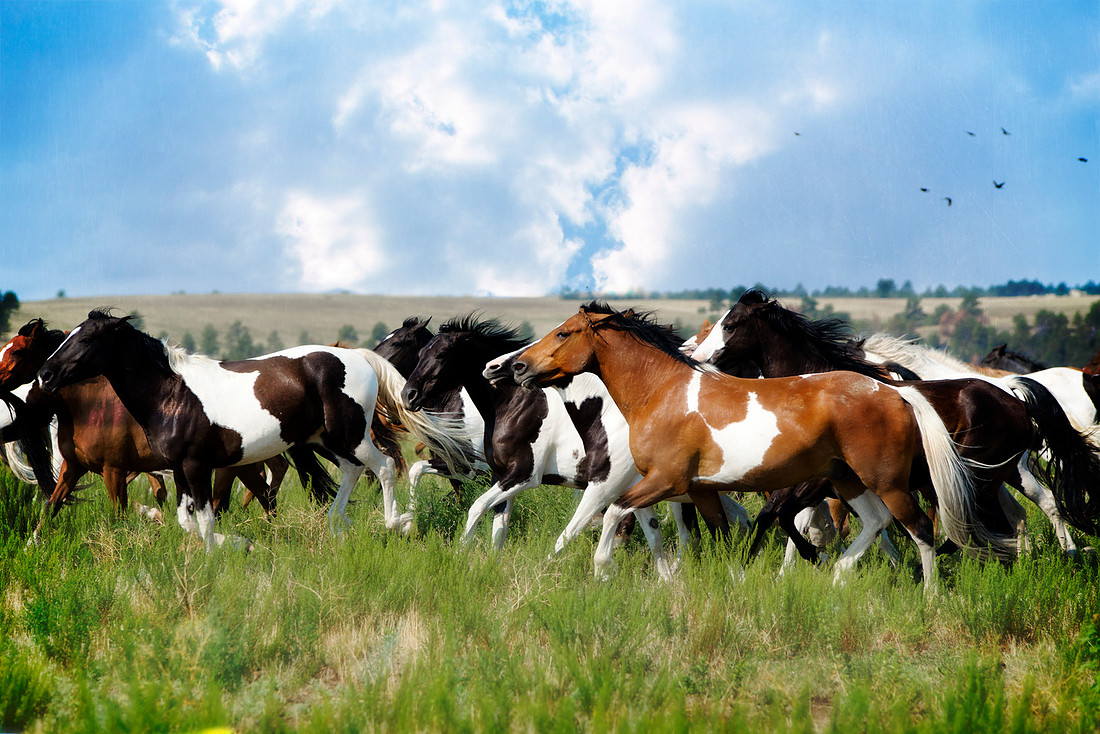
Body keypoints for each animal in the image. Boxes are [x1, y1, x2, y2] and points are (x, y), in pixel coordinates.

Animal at [1, 319, 291, 532]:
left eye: (17, 351)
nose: (44, 377)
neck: (88, 405)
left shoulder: (114, 470)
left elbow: (121, 513)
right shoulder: (73, 468)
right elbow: (50, 507)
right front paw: (32, 547)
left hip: (232, 466)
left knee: (254, 493)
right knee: (262, 493)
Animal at [36, 310, 472, 550]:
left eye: (86, 339)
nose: (44, 374)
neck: (173, 393)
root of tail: (359, 358)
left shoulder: (196, 466)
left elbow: (205, 519)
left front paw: (221, 553)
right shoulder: (179, 468)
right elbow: (186, 520)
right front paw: (238, 544)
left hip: (350, 435)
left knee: (381, 467)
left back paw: (397, 523)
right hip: (323, 439)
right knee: (351, 472)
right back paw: (339, 524)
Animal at [512, 303, 1040, 592]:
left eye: (563, 333)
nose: (517, 367)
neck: (664, 392)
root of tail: (894, 393)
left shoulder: (667, 480)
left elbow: (618, 512)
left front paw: (602, 571)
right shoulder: (698, 489)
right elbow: (722, 536)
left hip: (886, 480)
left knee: (921, 530)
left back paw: (929, 596)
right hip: (848, 481)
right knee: (877, 524)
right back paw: (837, 572)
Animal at [692, 290, 1100, 557]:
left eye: (730, 325)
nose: (698, 358)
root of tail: (1012, 394)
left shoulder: (818, 479)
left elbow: (782, 515)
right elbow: (780, 516)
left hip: (983, 477)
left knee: (1006, 514)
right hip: (1000, 473)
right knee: (1019, 512)